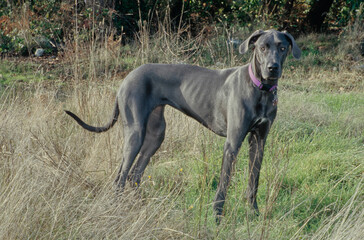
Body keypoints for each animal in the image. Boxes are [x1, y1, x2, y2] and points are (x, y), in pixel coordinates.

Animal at [65, 28, 302, 221]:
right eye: (262, 48)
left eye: (282, 47)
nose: (272, 68)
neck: (261, 89)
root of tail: (126, 78)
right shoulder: (232, 144)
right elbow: (224, 183)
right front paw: (217, 217)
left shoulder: (259, 141)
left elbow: (254, 181)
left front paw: (254, 214)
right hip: (135, 133)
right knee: (121, 177)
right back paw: (118, 210)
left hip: (156, 135)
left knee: (134, 175)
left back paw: (141, 208)